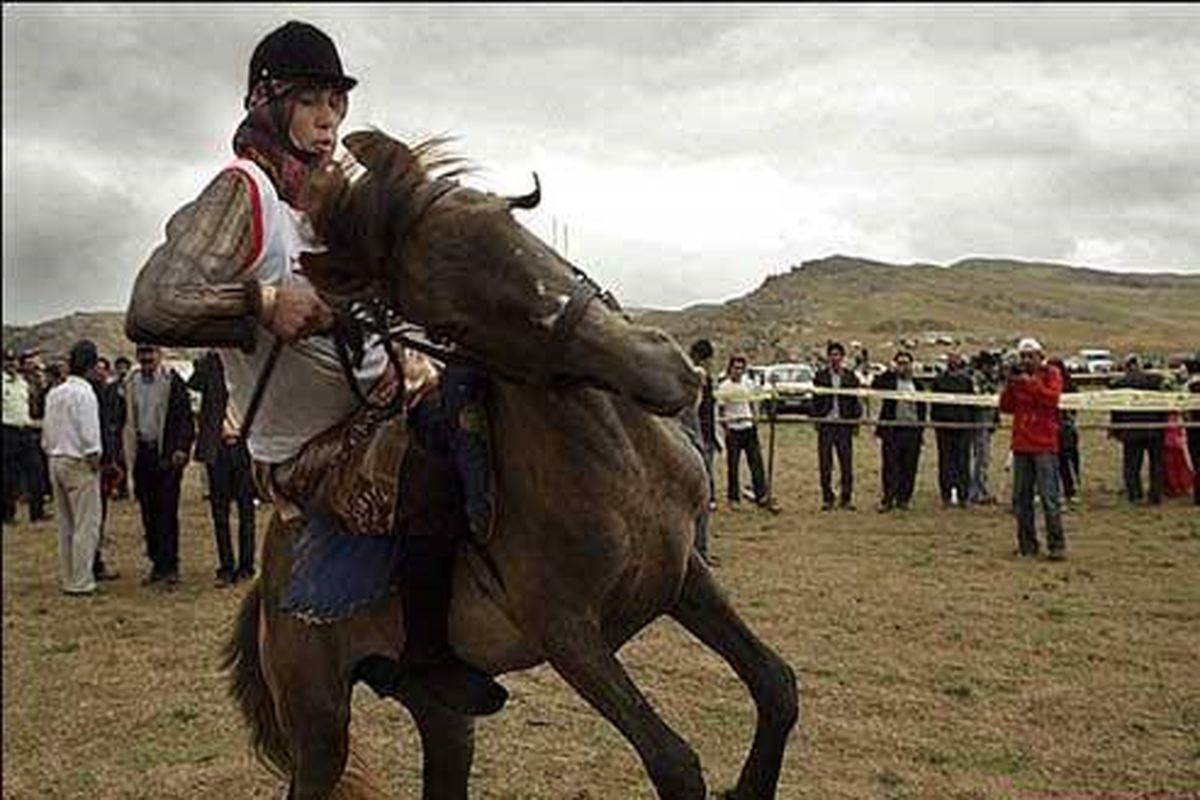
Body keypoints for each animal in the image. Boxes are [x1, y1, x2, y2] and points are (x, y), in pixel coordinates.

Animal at [226, 128, 796, 796]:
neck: (624, 475)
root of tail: (268, 582)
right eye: (451, 324)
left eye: (504, 222)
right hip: (319, 727)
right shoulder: (569, 635)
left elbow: (777, 686)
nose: (660, 370)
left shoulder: (684, 579)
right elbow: (675, 763)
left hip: (443, 721)